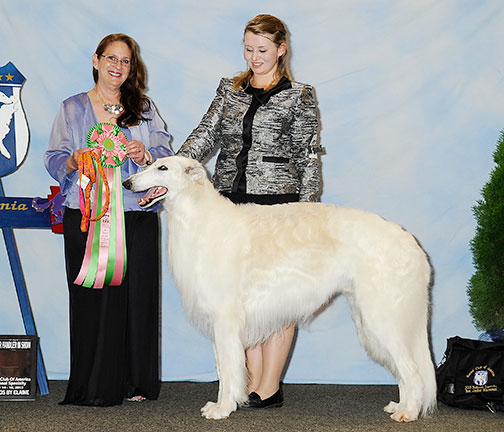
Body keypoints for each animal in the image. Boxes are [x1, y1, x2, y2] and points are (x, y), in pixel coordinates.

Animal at [123, 155, 438, 422]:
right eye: (150, 163)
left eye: (162, 168)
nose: (127, 183)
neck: (199, 217)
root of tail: (411, 243)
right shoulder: (218, 325)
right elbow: (224, 371)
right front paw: (224, 404)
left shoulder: (225, 321)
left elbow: (228, 371)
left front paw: (223, 409)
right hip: (371, 318)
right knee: (405, 370)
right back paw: (400, 405)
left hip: (382, 317)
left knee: (411, 370)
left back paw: (409, 412)